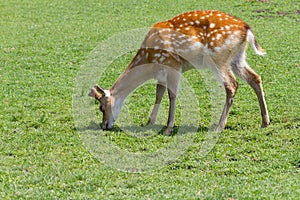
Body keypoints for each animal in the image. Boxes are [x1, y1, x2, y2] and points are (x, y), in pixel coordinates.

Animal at [88, 9, 270, 134]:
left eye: (101, 107)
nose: (104, 125)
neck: (149, 60)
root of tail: (247, 28)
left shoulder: (173, 64)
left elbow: (172, 95)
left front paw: (168, 128)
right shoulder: (161, 71)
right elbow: (159, 94)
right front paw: (149, 122)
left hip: (218, 57)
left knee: (231, 85)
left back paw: (219, 126)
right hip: (237, 58)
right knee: (255, 77)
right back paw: (265, 121)